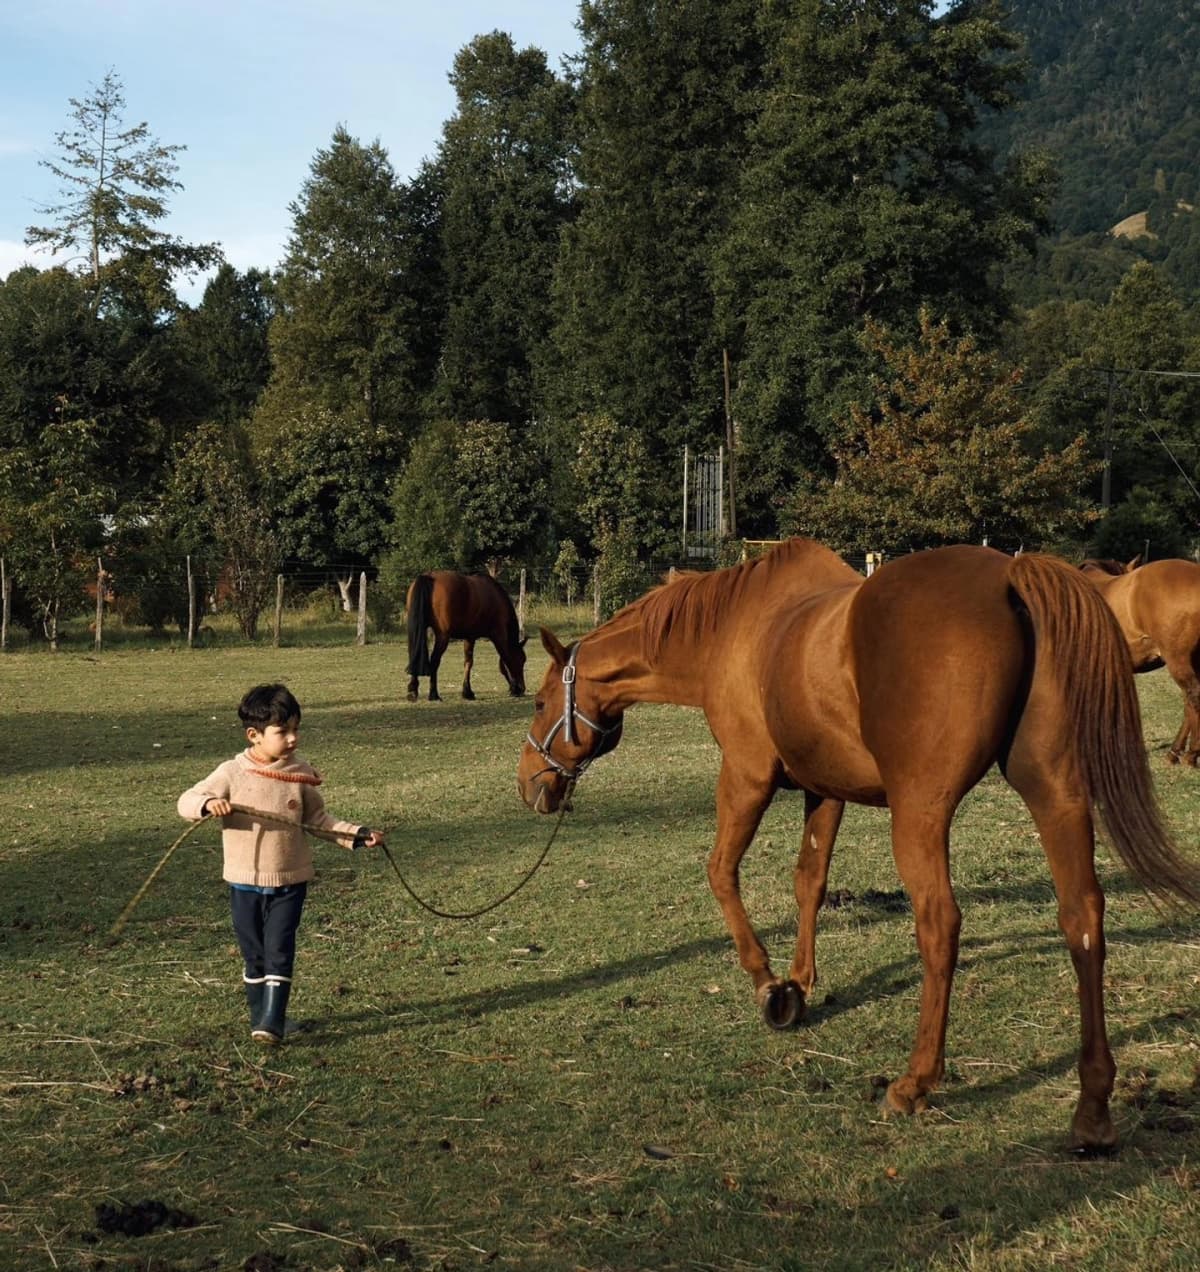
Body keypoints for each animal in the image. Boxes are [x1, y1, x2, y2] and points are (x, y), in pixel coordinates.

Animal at [405, 571, 527, 702]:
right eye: (521, 660)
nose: (522, 688)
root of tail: (429, 576)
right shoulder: (487, 636)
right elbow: (480, 661)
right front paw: (468, 692)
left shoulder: (469, 637)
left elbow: (468, 662)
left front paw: (466, 691)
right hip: (443, 637)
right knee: (434, 661)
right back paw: (434, 694)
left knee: (414, 656)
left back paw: (413, 690)